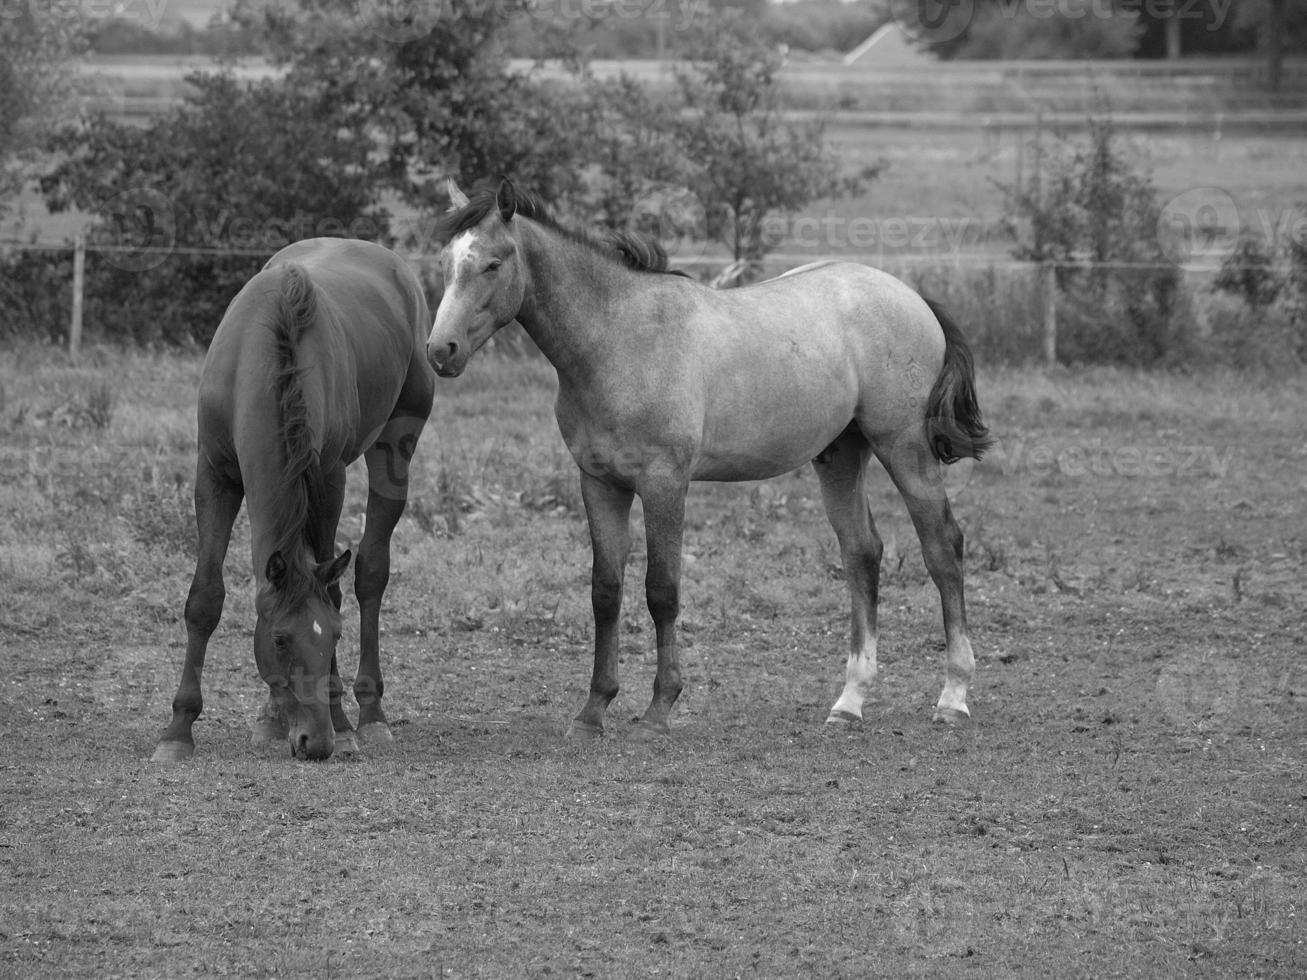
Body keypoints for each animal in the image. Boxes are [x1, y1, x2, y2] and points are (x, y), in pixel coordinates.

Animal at [153, 241, 436, 763]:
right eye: (280, 640)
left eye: (334, 637)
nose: (315, 741)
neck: (265, 354)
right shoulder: (216, 476)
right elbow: (205, 598)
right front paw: (179, 729)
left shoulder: (328, 479)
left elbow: (336, 591)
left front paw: (341, 723)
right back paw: (273, 717)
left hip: (395, 449)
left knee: (370, 573)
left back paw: (370, 714)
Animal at [428, 180, 988, 742]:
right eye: (445, 262)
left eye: (493, 263)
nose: (440, 350)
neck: (618, 340)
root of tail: (912, 297)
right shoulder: (600, 483)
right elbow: (605, 591)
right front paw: (592, 711)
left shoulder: (664, 483)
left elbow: (661, 590)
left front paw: (659, 707)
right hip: (840, 455)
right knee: (862, 554)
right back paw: (850, 701)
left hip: (905, 450)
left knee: (943, 548)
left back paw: (954, 697)